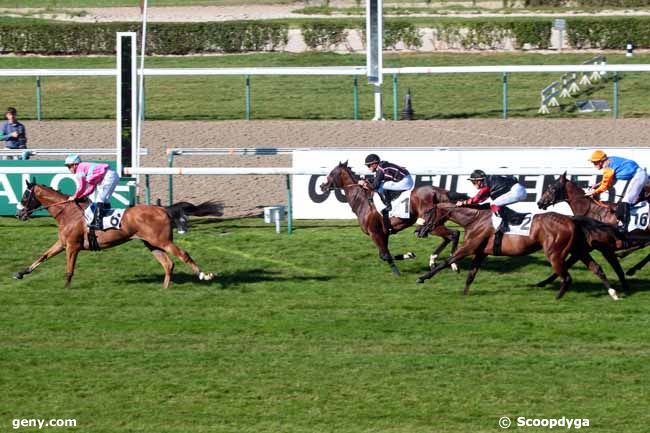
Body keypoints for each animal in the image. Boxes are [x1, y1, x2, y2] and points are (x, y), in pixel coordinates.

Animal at [14, 181, 223, 288]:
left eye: (25, 196)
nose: (19, 214)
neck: (68, 213)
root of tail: (163, 209)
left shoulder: (72, 246)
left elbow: (69, 269)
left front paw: (66, 288)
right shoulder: (62, 243)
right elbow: (43, 256)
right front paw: (20, 273)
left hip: (162, 241)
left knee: (183, 255)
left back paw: (204, 275)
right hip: (151, 243)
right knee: (168, 263)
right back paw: (164, 288)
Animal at [318, 160, 460, 276]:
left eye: (332, 173)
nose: (321, 186)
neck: (362, 200)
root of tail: (441, 192)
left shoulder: (375, 233)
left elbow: (385, 255)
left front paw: (400, 269)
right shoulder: (384, 233)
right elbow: (384, 255)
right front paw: (408, 256)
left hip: (431, 224)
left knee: (454, 234)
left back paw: (453, 264)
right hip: (434, 224)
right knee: (448, 237)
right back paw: (434, 261)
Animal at [412, 203, 620, 300]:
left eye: (428, 213)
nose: (419, 230)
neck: (474, 220)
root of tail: (571, 219)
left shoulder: (469, 247)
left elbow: (446, 261)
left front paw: (422, 277)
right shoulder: (480, 252)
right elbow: (471, 275)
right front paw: (464, 294)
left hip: (554, 253)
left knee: (567, 277)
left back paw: (557, 297)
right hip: (579, 249)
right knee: (596, 268)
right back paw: (613, 293)